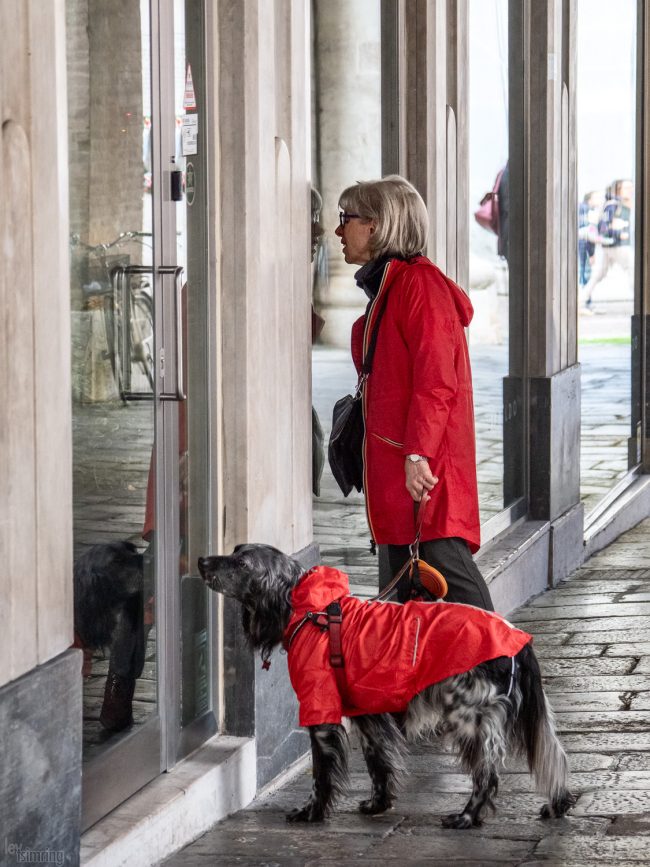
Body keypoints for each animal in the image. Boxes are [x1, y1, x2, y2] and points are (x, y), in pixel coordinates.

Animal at [197, 544, 572, 832]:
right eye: (233, 550)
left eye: (242, 563)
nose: (201, 560)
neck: (311, 611)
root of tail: (517, 637)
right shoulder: (367, 714)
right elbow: (379, 764)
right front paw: (378, 804)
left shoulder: (321, 713)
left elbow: (321, 775)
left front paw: (311, 813)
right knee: (554, 758)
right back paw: (558, 804)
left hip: (470, 719)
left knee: (488, 775)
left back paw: (466, 818)